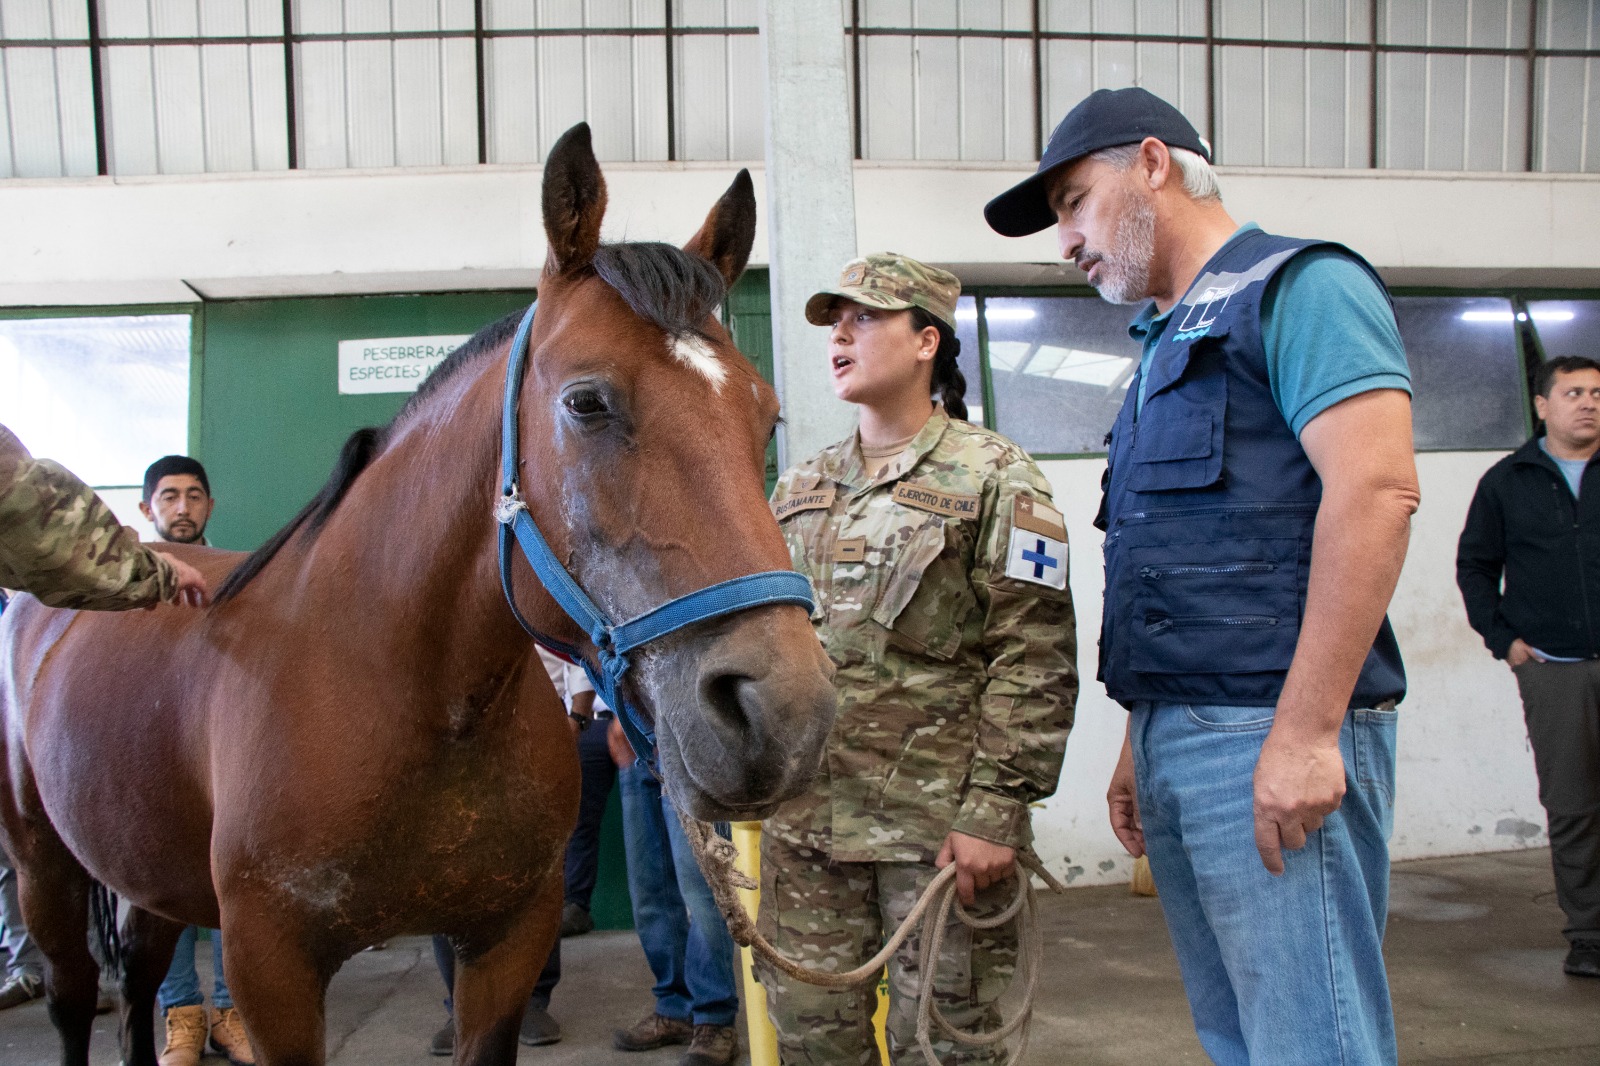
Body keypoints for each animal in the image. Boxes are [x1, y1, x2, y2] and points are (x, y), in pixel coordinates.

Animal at [3, 122, 838, 1062]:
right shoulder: (270, 968)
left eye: (765, 416)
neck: (405, 692)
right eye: (586, 402)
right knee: (77, 996)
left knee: (141, 985)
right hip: (43, 867)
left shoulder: (507, 941)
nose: (784, 712)